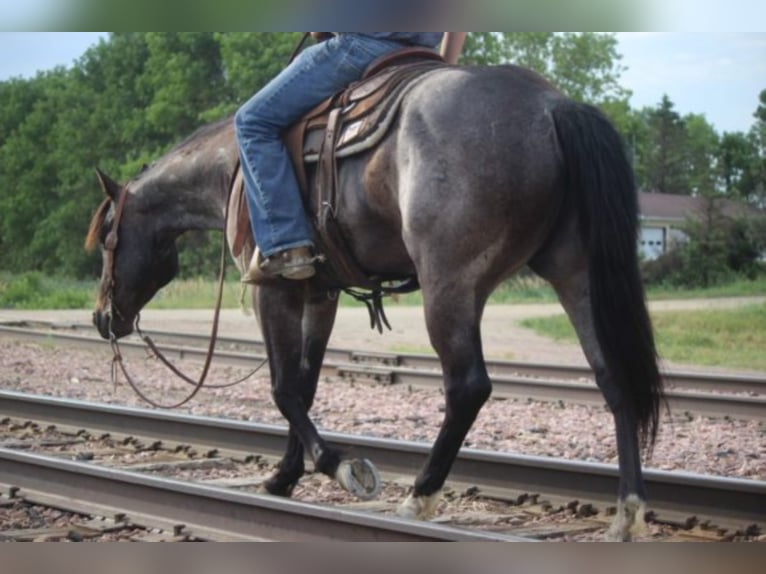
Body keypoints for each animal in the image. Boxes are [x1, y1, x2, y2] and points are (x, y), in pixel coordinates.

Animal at [87, 65, 664, 544]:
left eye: (107, 235)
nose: (100, 318)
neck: (233, 169)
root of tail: (550, 105)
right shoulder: (319, 292)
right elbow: (304, 384)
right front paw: (284, 475)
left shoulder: (271, 290)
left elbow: (282, 387)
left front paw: (339, 466)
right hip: (575, 274)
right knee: (614, 379)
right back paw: (627, 513)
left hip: (449, 285)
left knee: (468, 386)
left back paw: (421, 496)